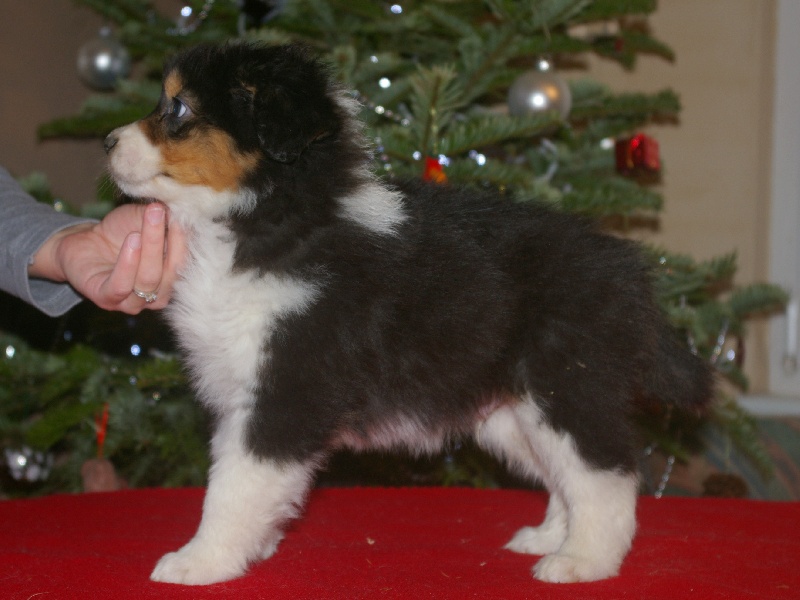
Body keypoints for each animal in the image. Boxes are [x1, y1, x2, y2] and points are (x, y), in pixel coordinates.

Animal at [105, 42, 713, 586]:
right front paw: (256, 544)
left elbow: (232, 489)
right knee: (566, 477)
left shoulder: (287, 389)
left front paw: (200, 562)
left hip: (566, 385)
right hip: (512, 412)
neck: (268, 221)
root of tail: (628, 272)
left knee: (606, 475)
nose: (107, 140)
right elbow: (242, 481)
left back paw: (583, 562)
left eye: (178, 109)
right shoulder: (242, 394)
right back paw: (548, 538)